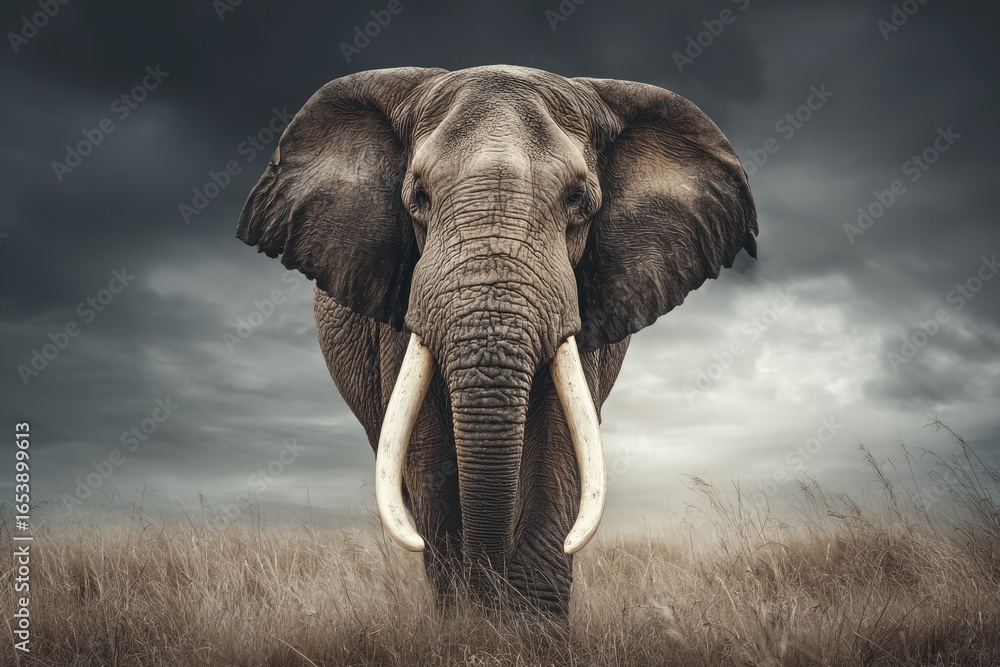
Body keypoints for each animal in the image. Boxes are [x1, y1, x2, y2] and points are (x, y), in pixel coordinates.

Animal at [236, 65, 757, 620]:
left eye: (579, 200)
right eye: (418, 197)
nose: (488, 581)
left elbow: (558, 446)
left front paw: (525, 628)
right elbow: (428, 454)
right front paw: (471, 624)